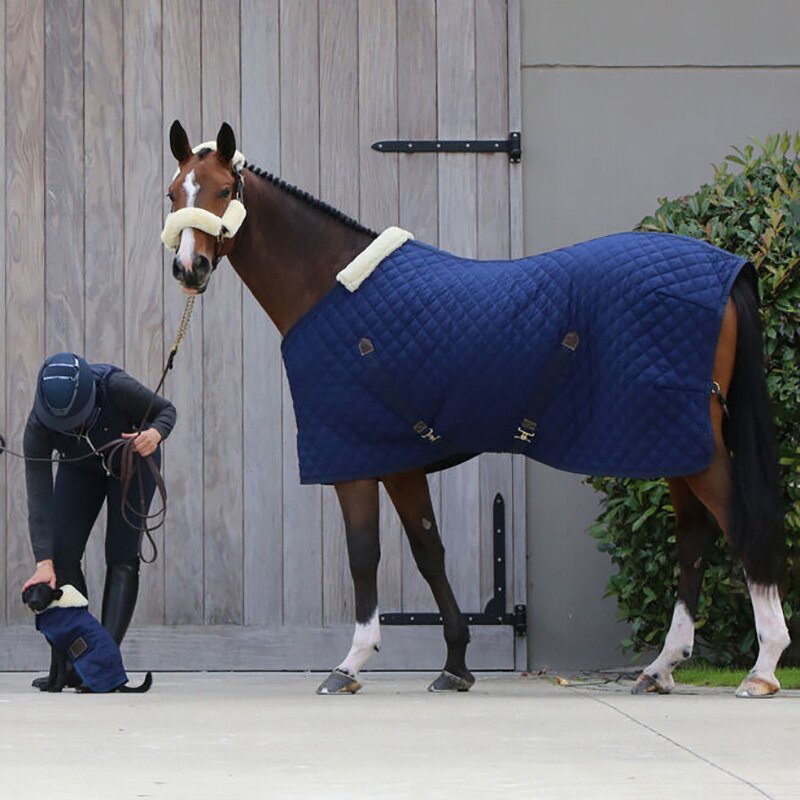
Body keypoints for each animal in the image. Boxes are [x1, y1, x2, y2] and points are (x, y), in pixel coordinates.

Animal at [162, 120, 790, 697]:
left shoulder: (355, 458)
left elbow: (365, 554)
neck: (332, 286)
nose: (189, 269)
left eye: (223, 189)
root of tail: (729, 267)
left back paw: (761, 669)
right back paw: (661, 667)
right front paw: (456, 665)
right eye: (173, 193)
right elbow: (429, 551)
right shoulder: (400, 460)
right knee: (693, 538)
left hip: (687, 443)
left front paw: (350, 664)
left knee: (738, 526)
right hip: (676, 443)